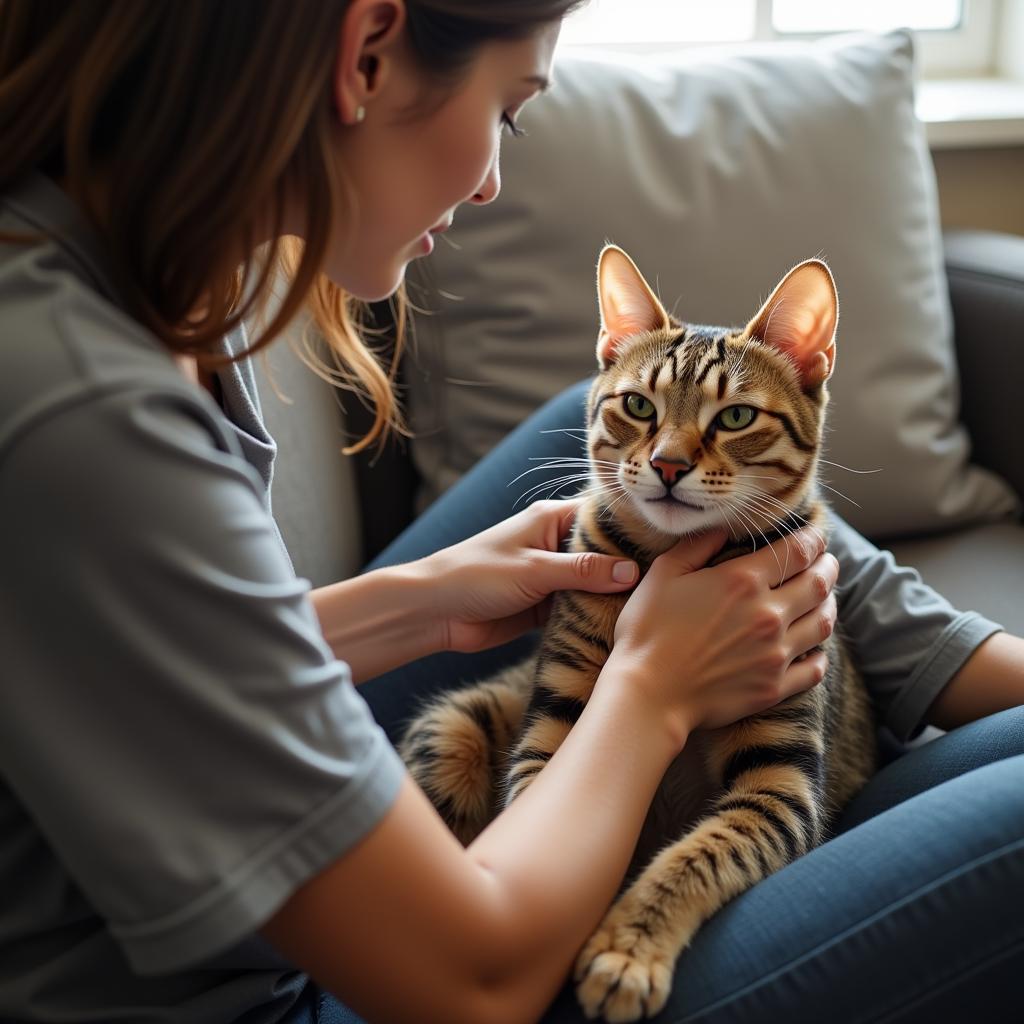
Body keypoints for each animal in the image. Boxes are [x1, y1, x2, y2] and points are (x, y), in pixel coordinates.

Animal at [395, 243, 876, 1019]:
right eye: (639, 405)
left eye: (736, 416)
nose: (668, 464)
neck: (665, 561)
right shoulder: (555, 721)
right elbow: (543, 820)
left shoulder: (781, 781)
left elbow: (702, 854)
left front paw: (629, 946)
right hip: (452, 733)